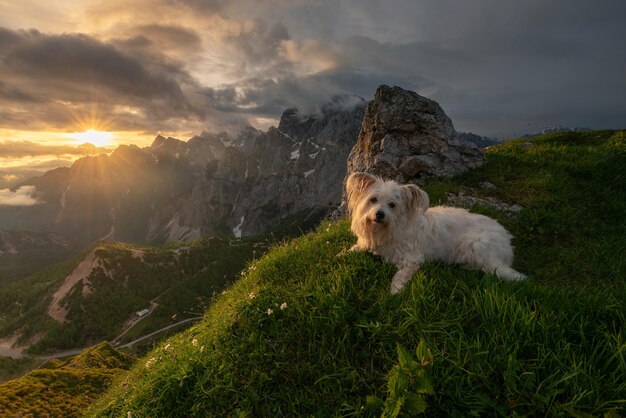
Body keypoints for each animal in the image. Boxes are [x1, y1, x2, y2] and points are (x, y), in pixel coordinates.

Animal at [344, 171, 524, 292]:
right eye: (373, 199)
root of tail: (507, 239)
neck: (386, 230)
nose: (379, 214)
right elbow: (353, 249)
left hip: (476, 246)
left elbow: (401, 275)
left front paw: (395, 290)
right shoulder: (367, 243)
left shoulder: (412, 260)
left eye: (392, 205)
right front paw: (342, 254)